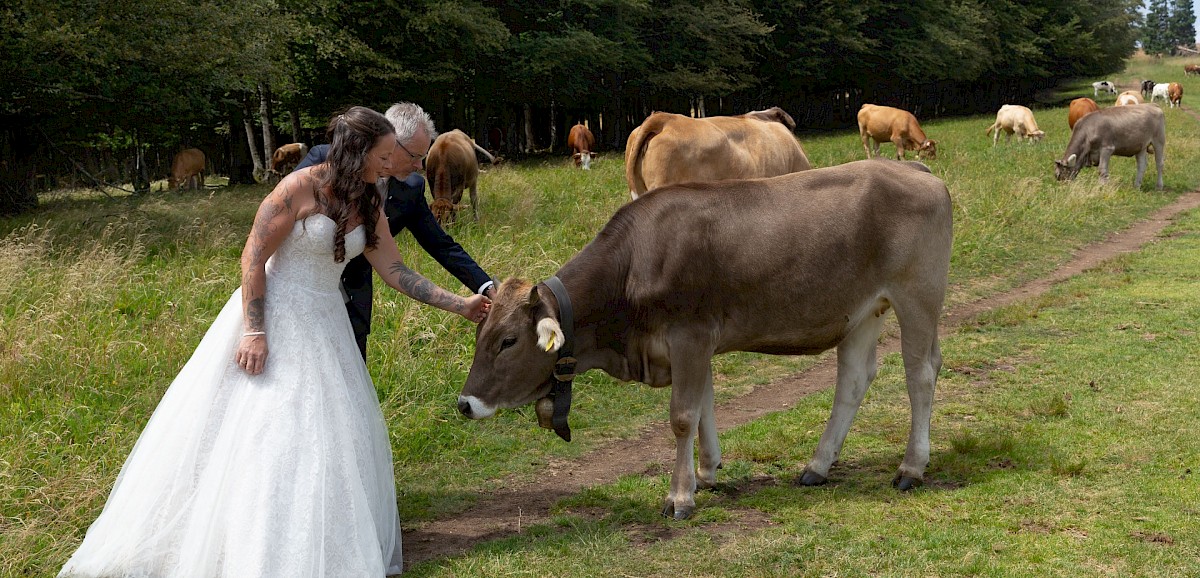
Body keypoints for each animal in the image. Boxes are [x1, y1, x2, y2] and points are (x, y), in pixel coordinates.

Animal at [458, 157, 955, 520]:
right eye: (480, 332)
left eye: (507, 340)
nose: (464, 404)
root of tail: (913, 168)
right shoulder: (693, 345)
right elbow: (703, 408)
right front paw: (707, 471)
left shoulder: (689, 336)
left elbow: (683, 416)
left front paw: (680, 496)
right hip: (862, 309)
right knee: (853, 379)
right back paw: (817, 465)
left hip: (917, 295)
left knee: (921, 373)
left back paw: (911, 467)